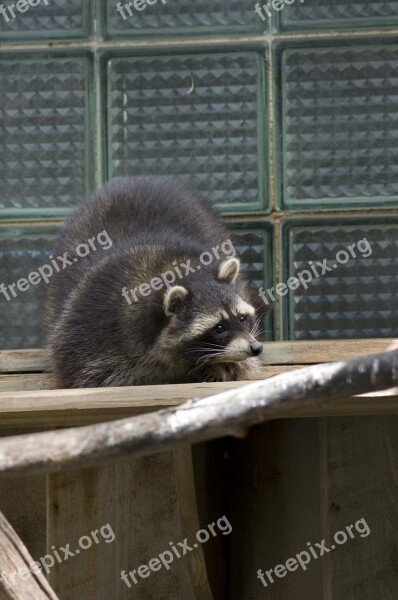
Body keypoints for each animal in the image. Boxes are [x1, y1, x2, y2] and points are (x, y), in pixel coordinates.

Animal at [45, 176, 266, 386]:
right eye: (219, 328)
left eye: (242, 318)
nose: (255, 347)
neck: (175, 271)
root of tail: (139, 179)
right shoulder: (91, 322)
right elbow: (86, 371)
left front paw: (221, 366)